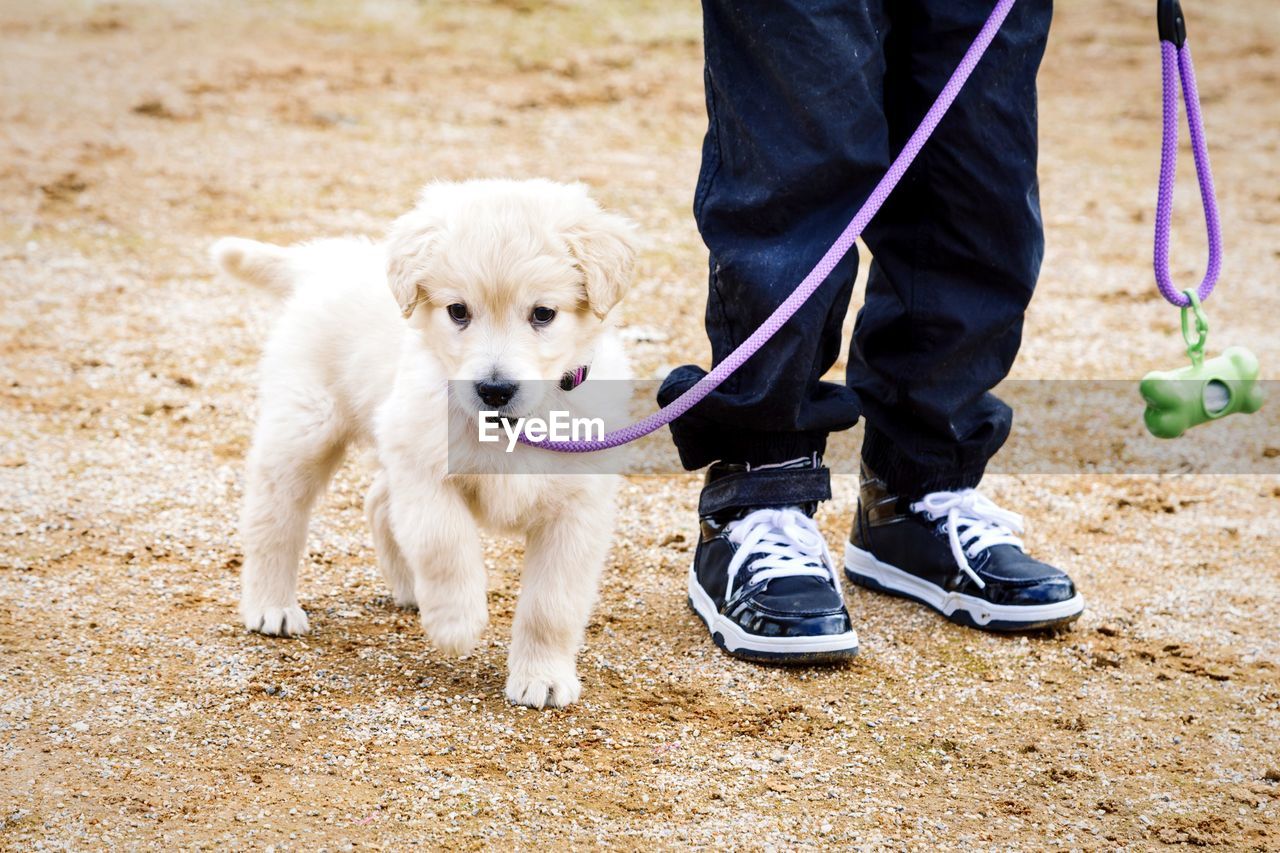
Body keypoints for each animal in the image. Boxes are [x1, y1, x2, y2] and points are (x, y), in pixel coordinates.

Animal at [212, 178, 637, 701]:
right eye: (457, 311)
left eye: (543, 314)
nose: (494, 389)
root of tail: (322, 263)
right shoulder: (424, 469)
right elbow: (443, 546)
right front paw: (456, 623)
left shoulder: (577, 508)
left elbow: (552, 604)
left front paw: (543, 677)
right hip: (304, 428)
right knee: (274, 514)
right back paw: (271, 605)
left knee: (378, 502)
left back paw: (410, 588)